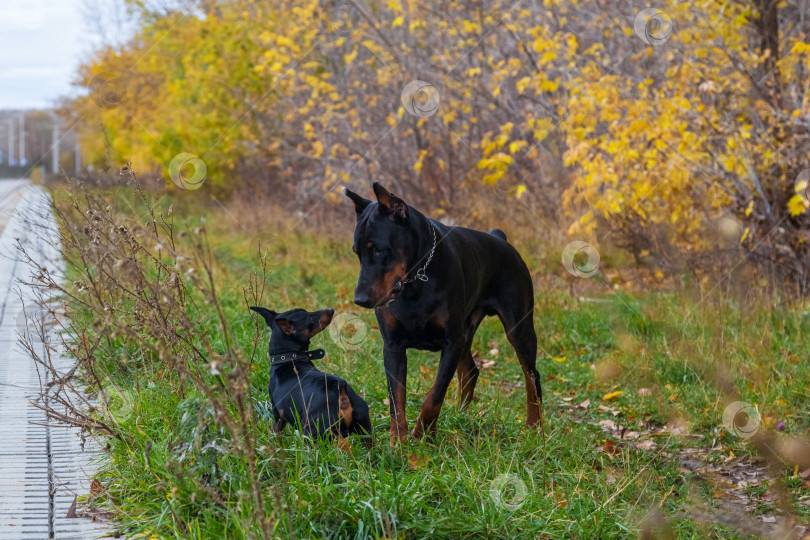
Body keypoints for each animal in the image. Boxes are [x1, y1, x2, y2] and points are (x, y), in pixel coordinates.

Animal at [249, 306, 372, 446]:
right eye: (310, 318)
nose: (331, 309)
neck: (289, 358)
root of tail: (341, 389)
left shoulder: (278, 414)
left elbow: (277, 431)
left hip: (312, 432)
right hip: (364, 429)